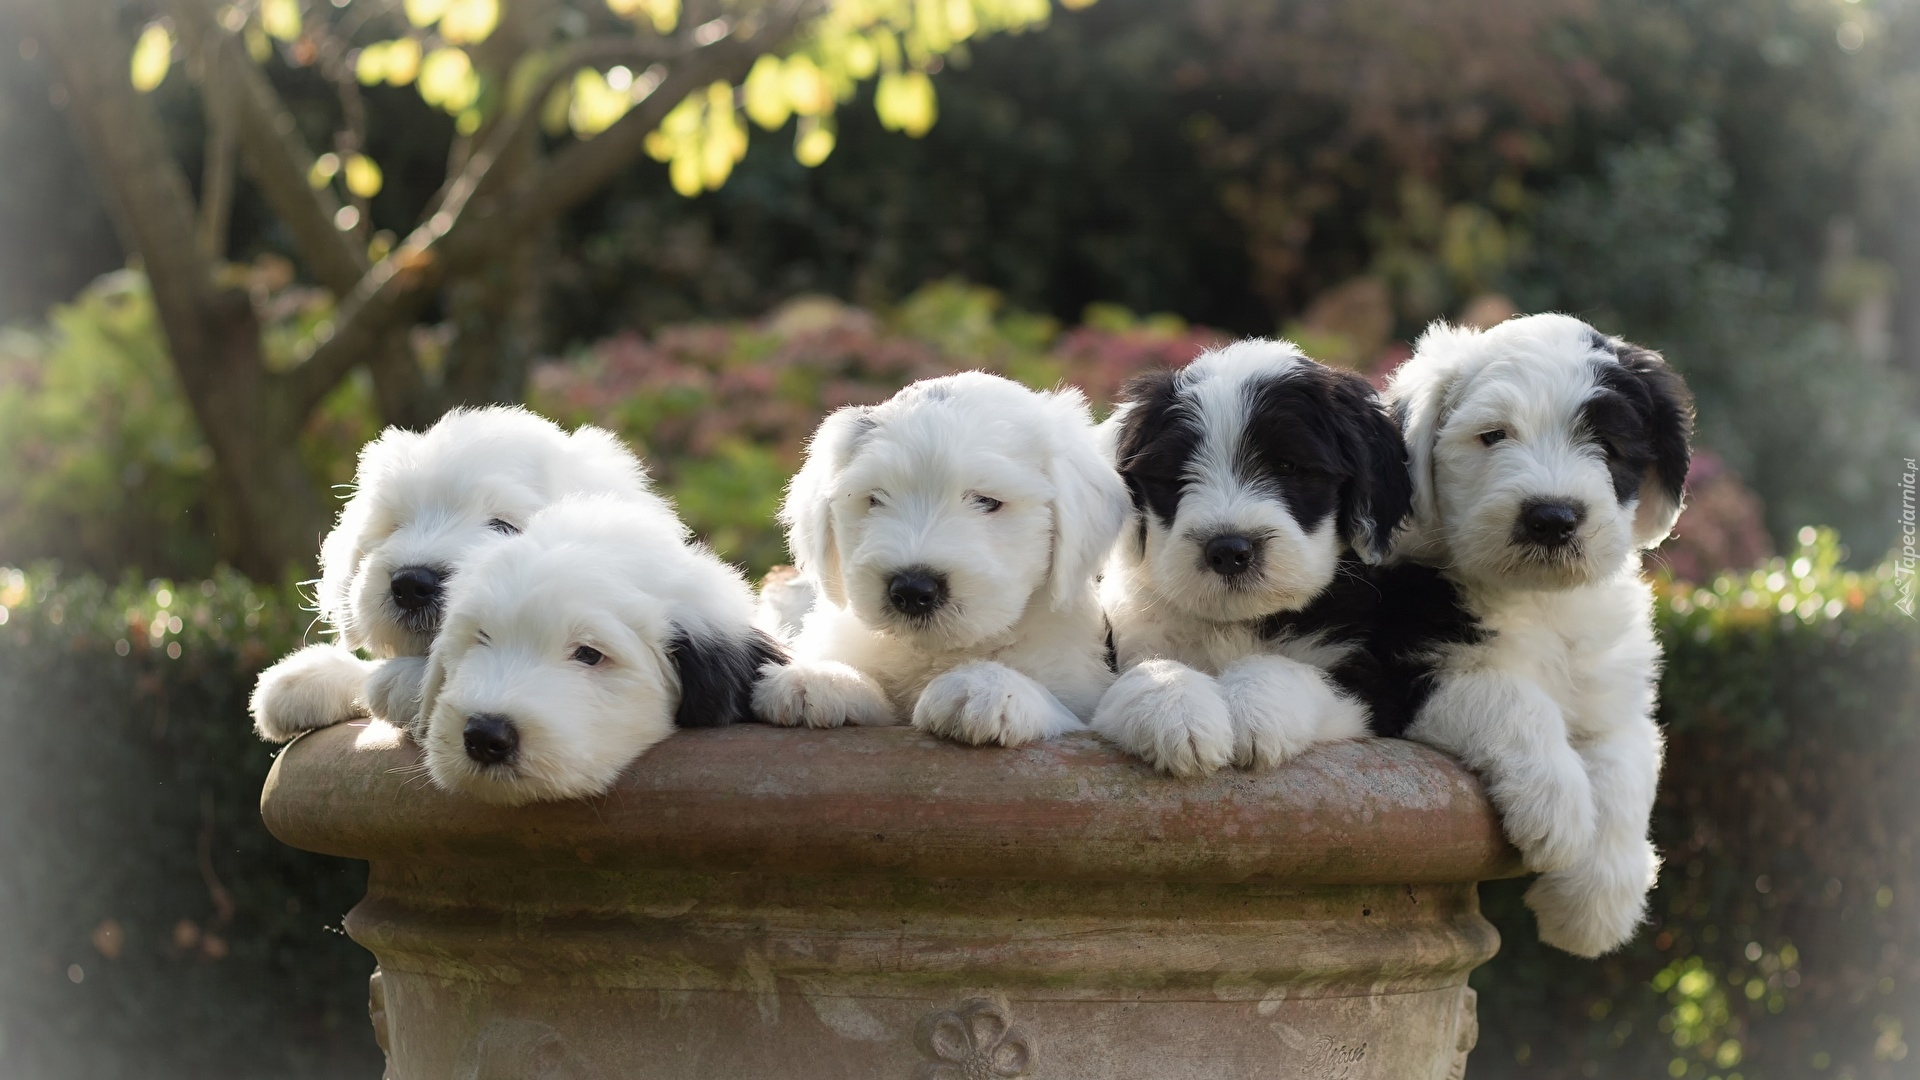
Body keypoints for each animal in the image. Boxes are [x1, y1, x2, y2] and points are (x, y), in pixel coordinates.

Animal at [1382, 309, 1697, 949]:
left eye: (1608, 444)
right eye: (1493, 435)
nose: (1551, 518)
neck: (1540, 601)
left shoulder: (1610, 691)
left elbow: (1628, 761)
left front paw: (1594, 905)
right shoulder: (1391, 669)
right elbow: (1510, 693)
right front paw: (1560, 809)